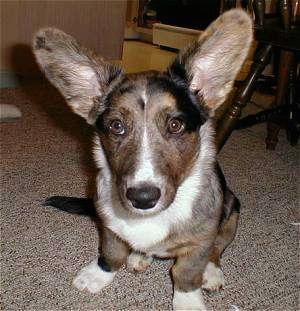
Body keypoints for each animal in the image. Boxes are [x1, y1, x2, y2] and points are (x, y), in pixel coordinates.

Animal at [33, 8, 253, 310]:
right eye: (116, 126)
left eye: (175, 125)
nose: (143, 198)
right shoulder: (108, 227)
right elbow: (112, 253)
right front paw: (98, 275)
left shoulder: (200, 241)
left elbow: (186, 272)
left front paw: (188, 301)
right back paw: (140, 256)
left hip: (232, 209)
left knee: (218, 248)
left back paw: (211, 272)